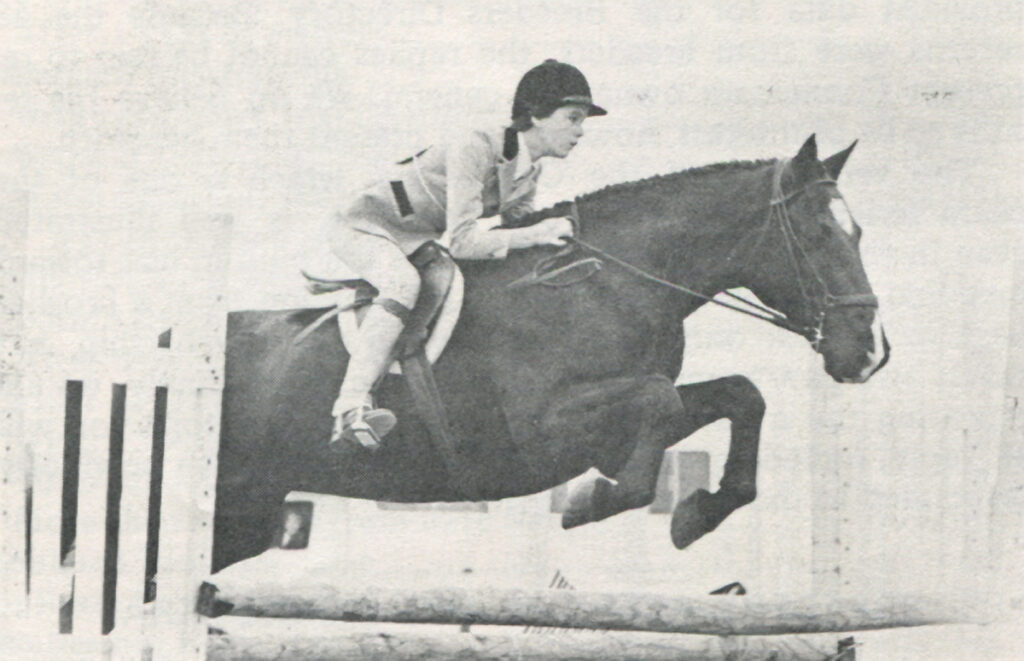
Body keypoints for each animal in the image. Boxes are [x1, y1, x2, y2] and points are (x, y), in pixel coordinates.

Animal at [209, 136, 888, 573]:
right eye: (819, 234)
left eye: (858, 233)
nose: (869, 353)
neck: (610, 282)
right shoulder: (542, 431)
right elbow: (659, 402)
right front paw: (593, 503)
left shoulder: (609, 431)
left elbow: (740, 394)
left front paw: (698, 514)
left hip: (245, 515)